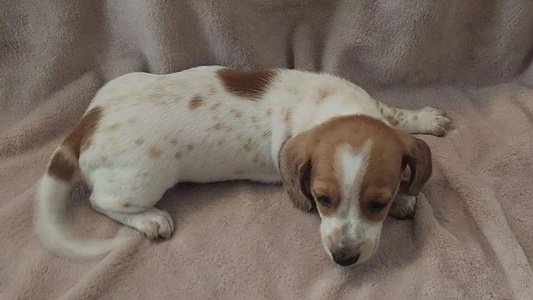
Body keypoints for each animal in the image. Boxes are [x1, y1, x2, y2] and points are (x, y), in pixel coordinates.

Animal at [34, 65, 448, 264]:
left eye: (377, 203)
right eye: (322, 200)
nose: (344, 258)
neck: (335, 108)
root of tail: (87, 123)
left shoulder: (376, 108)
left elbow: (396, 116)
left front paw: (426, 120)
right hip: (143, 181)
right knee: (100, 201)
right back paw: (150, 219)